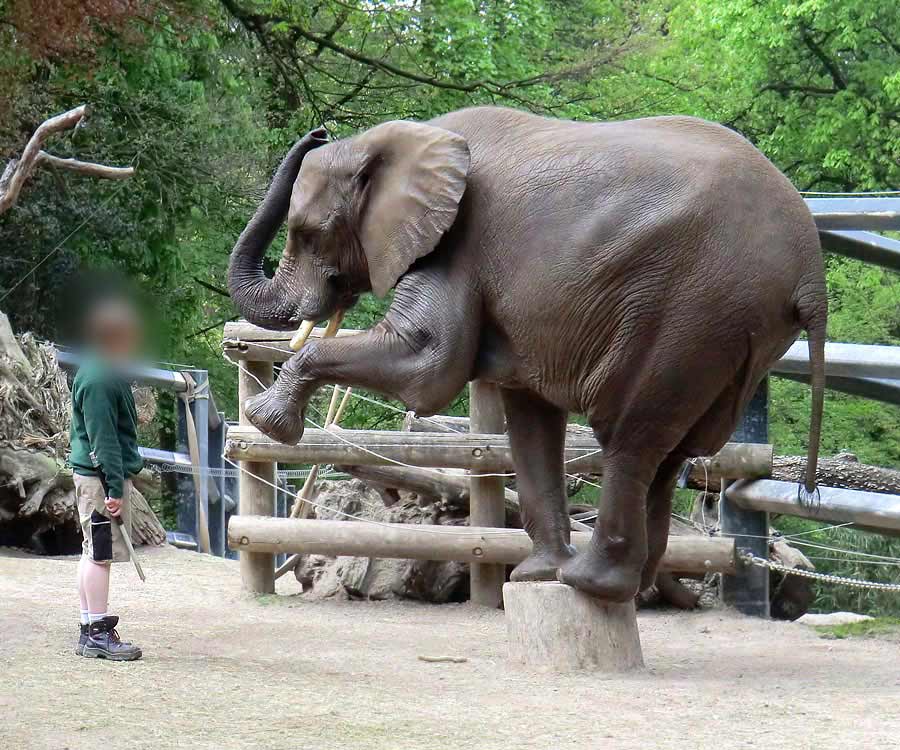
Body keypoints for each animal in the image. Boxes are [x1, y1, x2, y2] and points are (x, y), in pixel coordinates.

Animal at [229, 106, 828, 604]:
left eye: (309, 235)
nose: (317, 131)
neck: (392, 141)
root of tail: (811, 271)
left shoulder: (458, 243)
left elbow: (429, 365)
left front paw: (266, 422)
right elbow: (528, 416)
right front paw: (534, 576)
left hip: (692, 309)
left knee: (629, 438)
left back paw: (593, 583)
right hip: (735, 332)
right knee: (673, 452)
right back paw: (627, 587)